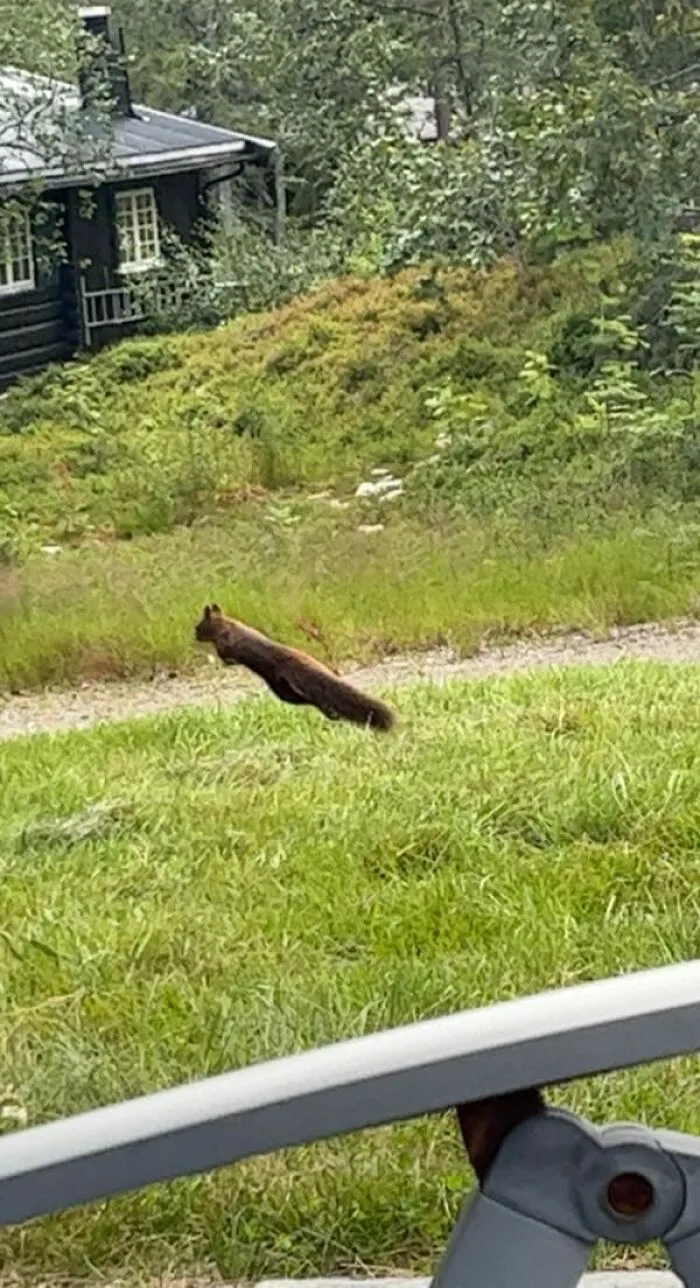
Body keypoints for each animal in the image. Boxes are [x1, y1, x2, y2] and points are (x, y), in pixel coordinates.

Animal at [194, 604, 395, 732]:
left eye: (198, 627)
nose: (193, 635)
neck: (227, 626)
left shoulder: (226, 646)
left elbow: (227, 657)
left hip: (286, 689)